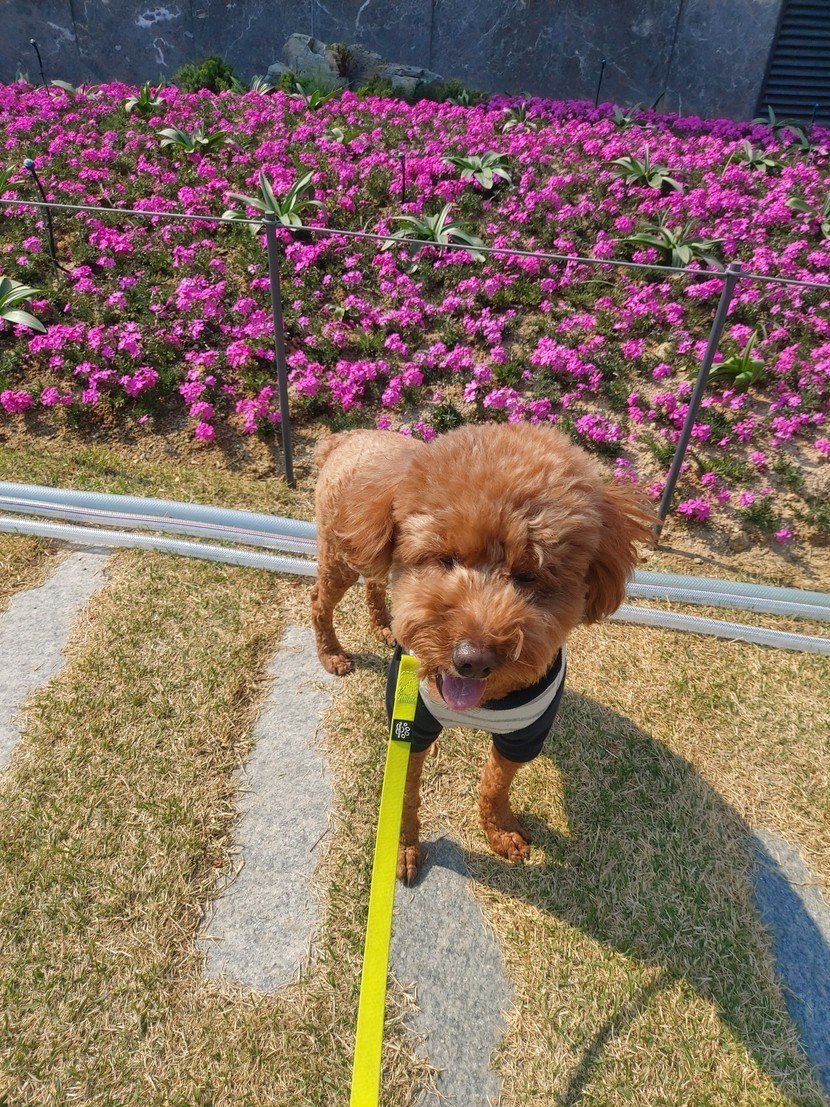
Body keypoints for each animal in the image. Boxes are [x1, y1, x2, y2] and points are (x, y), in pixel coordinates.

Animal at [311, 423, 654, 884]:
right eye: (445, 559)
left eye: (529, 576)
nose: (472, 659)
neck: (481, 703)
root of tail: (348, 436)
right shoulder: (411, 723)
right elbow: (405, 793)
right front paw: (403, 848)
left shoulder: (525, 732)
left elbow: (496, 784)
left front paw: (501, 832)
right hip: (342, 551)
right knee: (319, 599)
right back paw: (331, 652)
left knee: (376, 580)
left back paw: (383, 624)